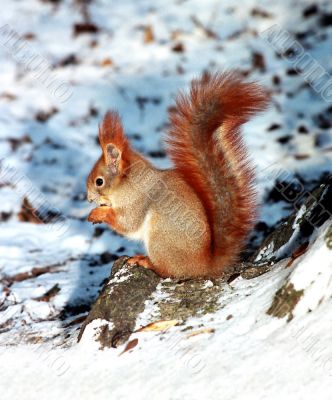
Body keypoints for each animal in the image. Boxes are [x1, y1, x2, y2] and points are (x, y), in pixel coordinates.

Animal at [86, 71, 270, 278]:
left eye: (99, 181)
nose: (89, 198)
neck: (128, 182)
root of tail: (204, 265)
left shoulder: (136, 201)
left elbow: (127, 223)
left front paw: (97, 213)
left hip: (160, 238)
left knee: (167, 270)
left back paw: (145, 261)